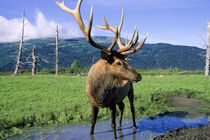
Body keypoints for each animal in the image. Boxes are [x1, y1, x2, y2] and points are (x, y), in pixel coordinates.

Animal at [55, 0, 148, 138]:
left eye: (126, 60)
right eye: (118, 62)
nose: (139, 75)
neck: (100, 93)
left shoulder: (112, 102)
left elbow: (112, 124)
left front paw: (115, 134)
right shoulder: (93, 103)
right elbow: (93, 122)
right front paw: (91, 133)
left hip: (130, 90)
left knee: (131, 107)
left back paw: (134, 126)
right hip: (120, 97)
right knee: (122, 106)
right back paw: (121, 126)